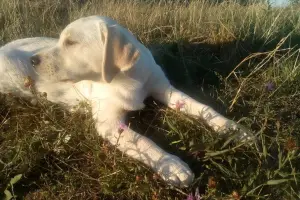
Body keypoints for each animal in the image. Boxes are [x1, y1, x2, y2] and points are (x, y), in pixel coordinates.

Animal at [0, 15, 252, 188]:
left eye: (71, 42)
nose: (33, 61)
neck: (126, 78)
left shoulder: (165, 90)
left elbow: (202, 108)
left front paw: (234, 130)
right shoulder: (109, 122)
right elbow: (143, 141)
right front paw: (172, 165)